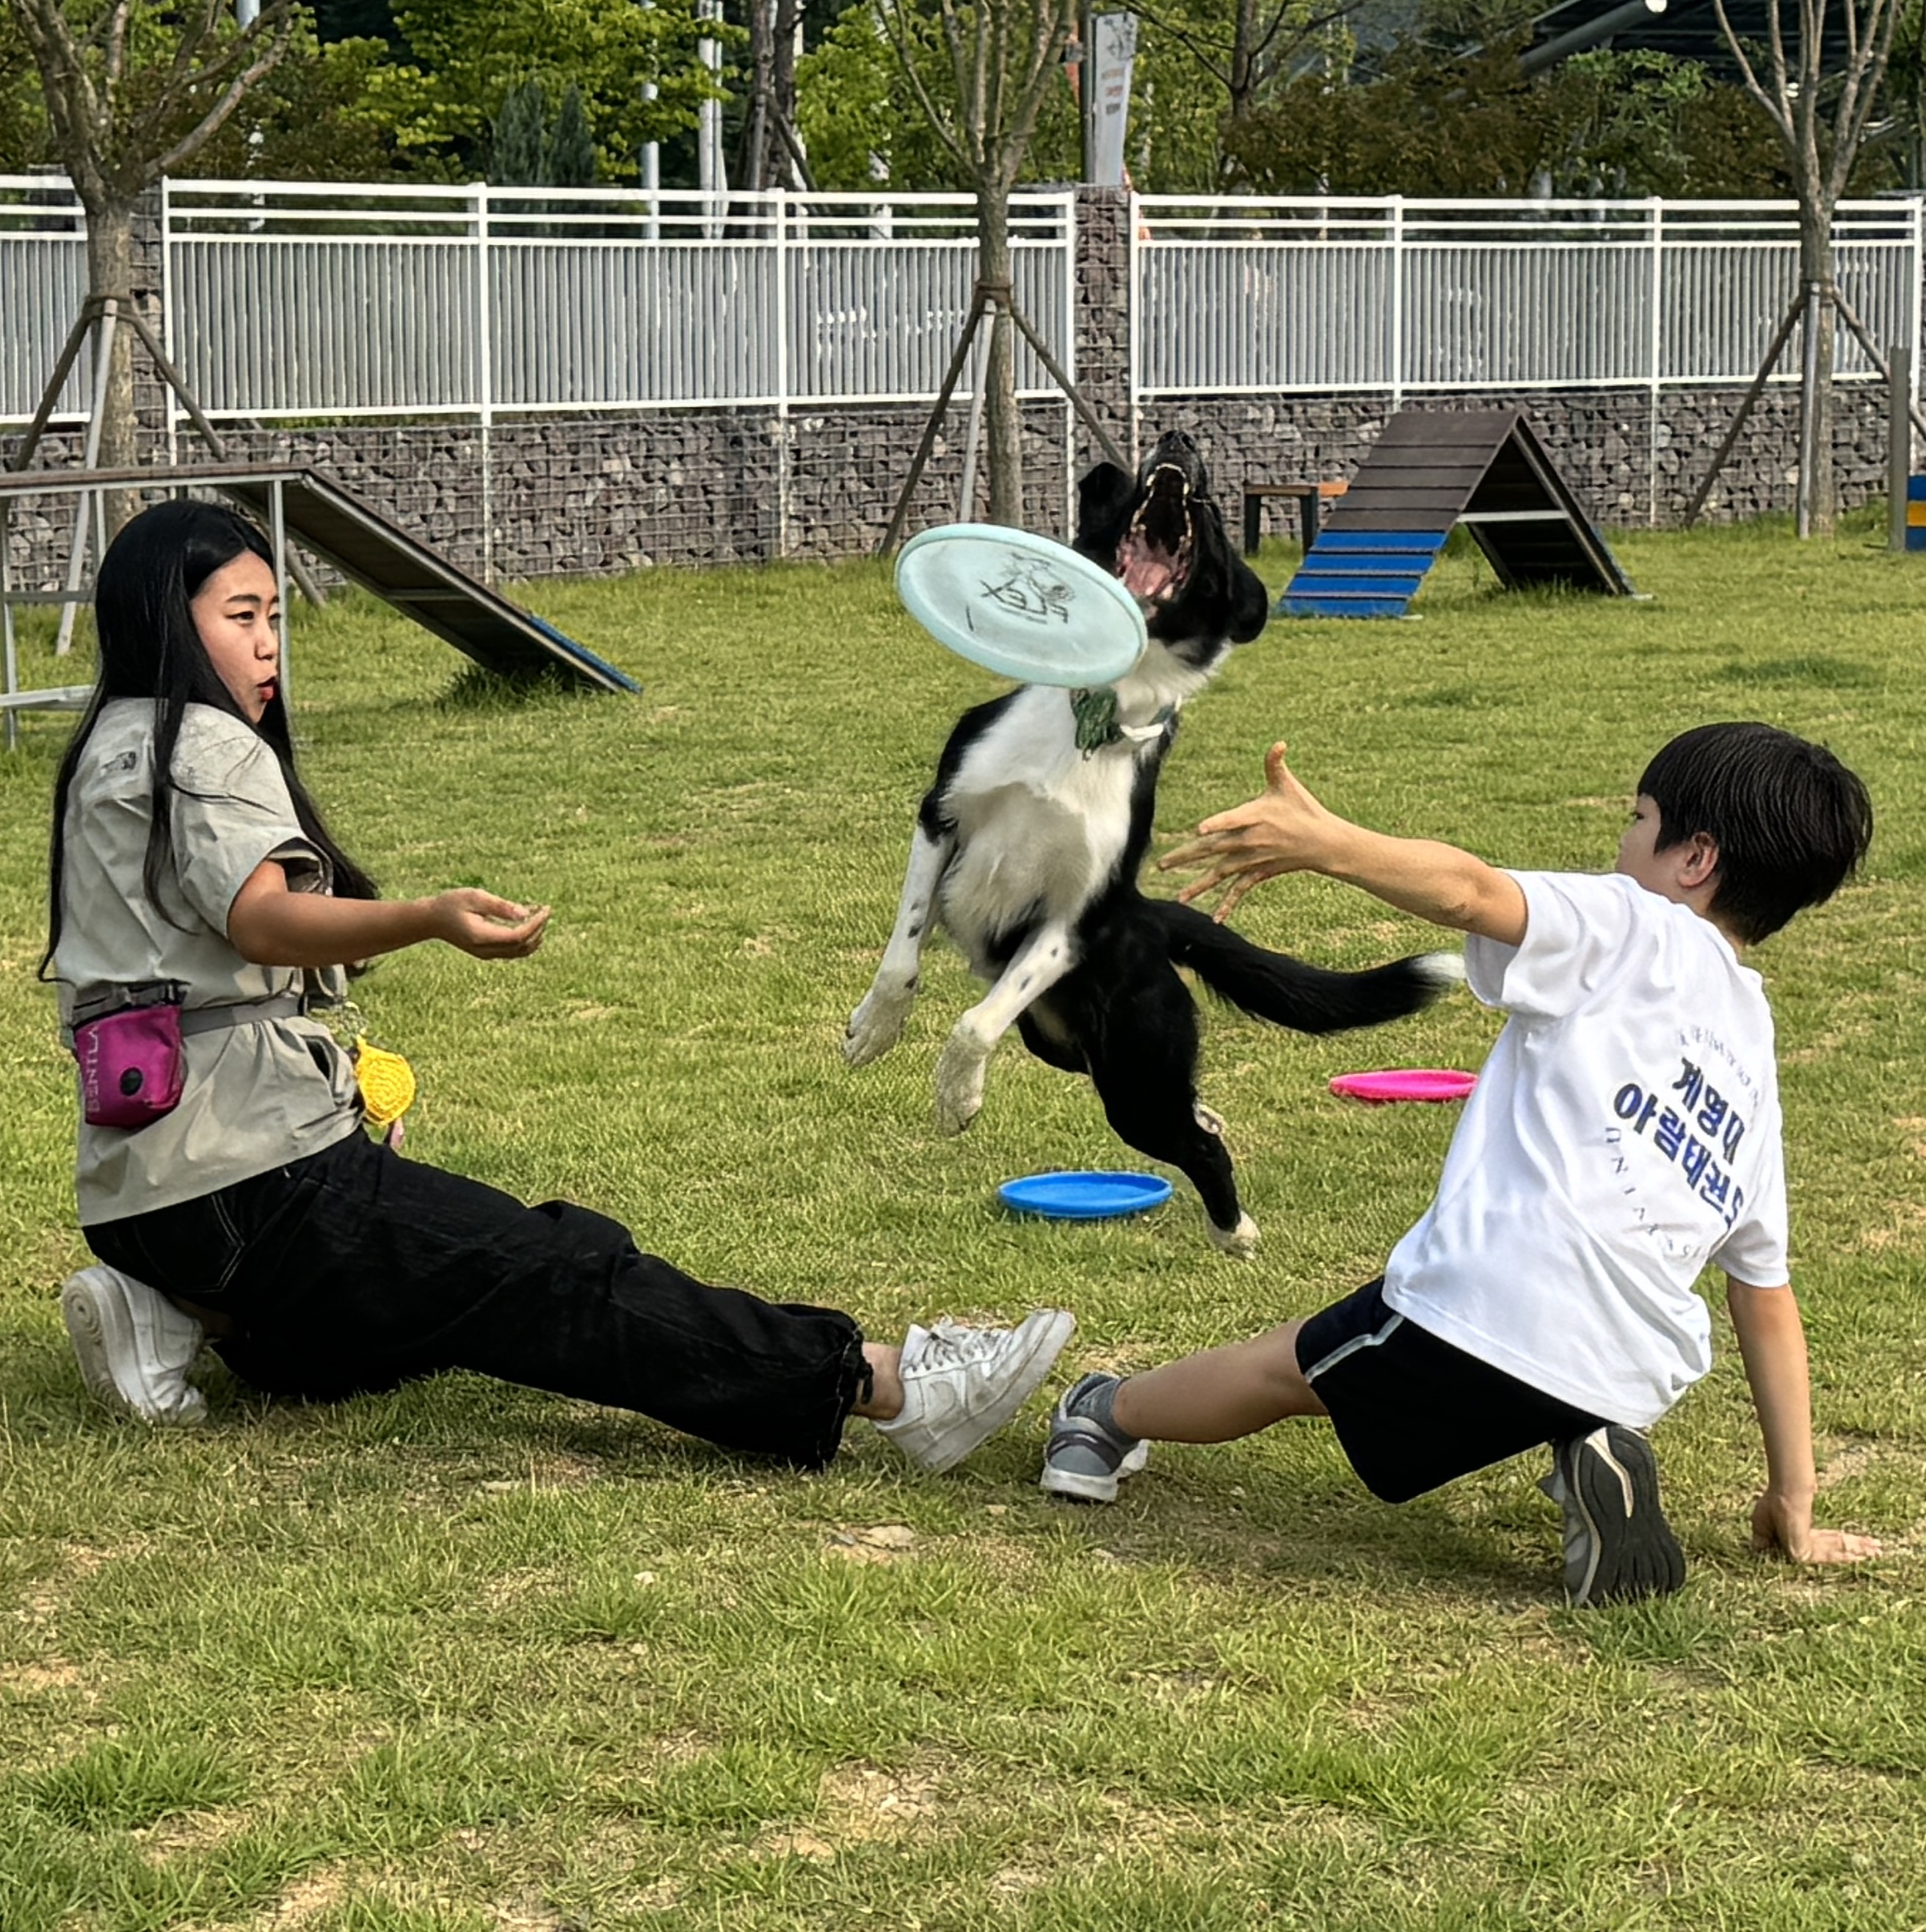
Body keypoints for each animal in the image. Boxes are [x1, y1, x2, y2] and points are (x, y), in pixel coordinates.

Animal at [850, 430, 1453, 1252]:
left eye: (1211, 510)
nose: (1178, 441)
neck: (1094, 719)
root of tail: (1148, 916)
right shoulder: (940, 817)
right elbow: (901, 956)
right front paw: (873, 1030)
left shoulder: (1075, 917)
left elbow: (974, 1024)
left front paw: (955, 1096)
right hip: (1066, 1048)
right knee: (1185, 1109)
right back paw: (1211, 1127)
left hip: (1132, 1064)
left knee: (1192, 1142)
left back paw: (1234, 1227)